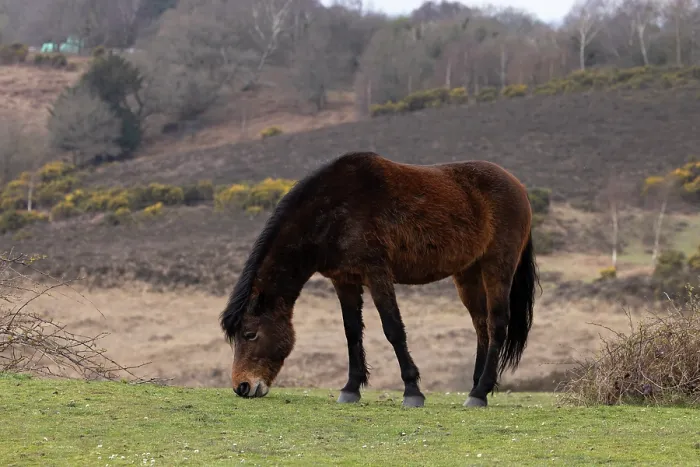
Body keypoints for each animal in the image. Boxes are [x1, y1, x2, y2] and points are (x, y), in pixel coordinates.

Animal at [219, 151, 539, 408]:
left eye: (250, 334)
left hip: (497, 267)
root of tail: (519, 187)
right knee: (481, 325)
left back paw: (480, 392)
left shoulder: (377, 274)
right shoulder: (344, 280)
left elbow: (393, 329)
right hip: (468, 273)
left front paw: (412, 391)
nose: (242, 386)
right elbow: (351, 332)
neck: (335, 209)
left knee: (497, 324)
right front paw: (351, 388)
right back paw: (475, 386)